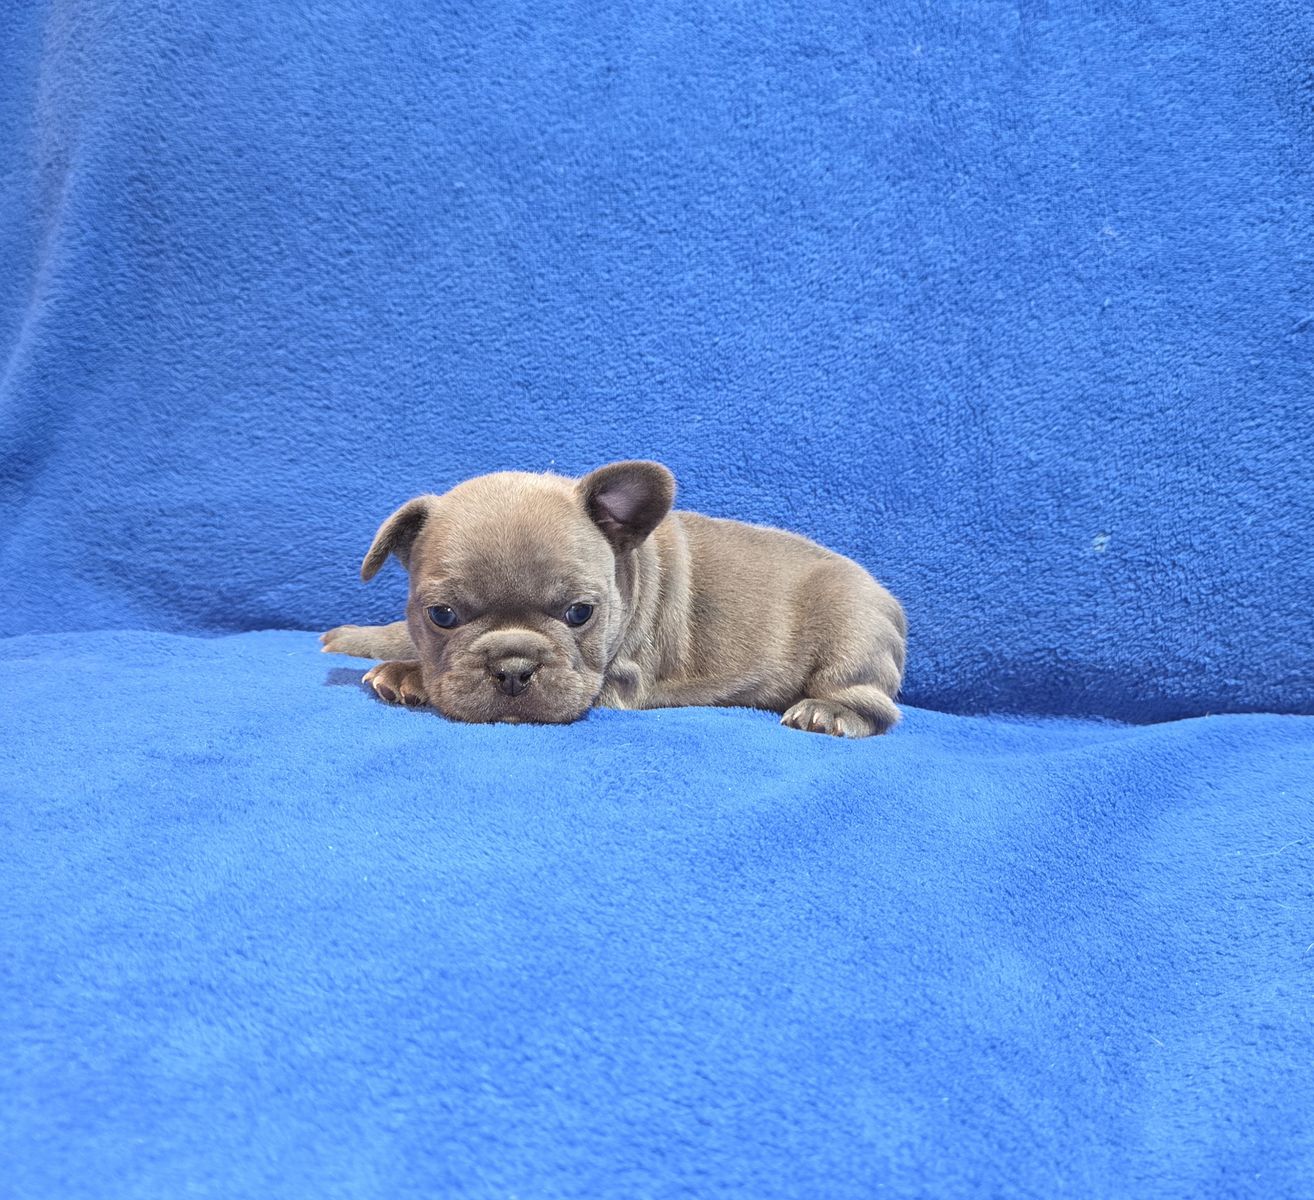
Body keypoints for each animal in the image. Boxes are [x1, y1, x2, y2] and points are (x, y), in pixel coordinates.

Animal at [321, 461, 906, 737]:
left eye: (580, 613)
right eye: (442, 615)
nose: (512, 668)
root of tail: (886, 597)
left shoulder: (617, 678)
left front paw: (408, 676)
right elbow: (398, 635)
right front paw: (356, 639)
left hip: (852, 631)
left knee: (874, 703)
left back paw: (827, 712)